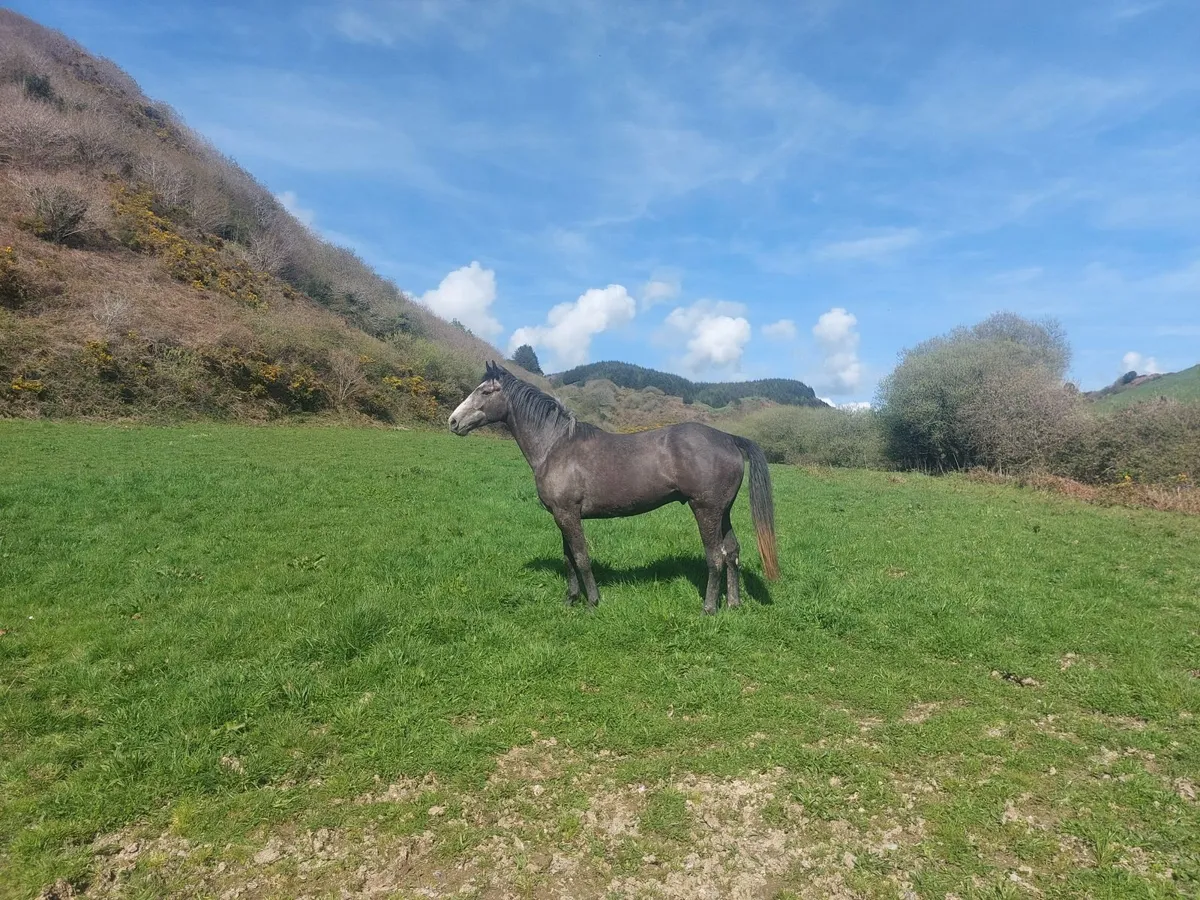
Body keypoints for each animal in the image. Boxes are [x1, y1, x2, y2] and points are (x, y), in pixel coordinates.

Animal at [448, 361, 780, 613]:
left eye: (485, 391)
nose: (453, 421)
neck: (556, 445)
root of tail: (728, 437)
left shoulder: (568, 515)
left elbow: (581, 557)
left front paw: (592, 602)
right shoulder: (561, 516)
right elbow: (568, 559)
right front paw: (570, 600)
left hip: (706, 511)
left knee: (716, 557)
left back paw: (709, 609)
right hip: (723, 512)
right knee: (732, 552)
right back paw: (733, 604)